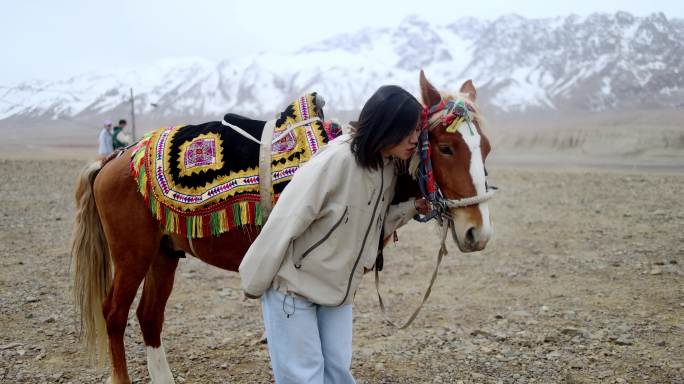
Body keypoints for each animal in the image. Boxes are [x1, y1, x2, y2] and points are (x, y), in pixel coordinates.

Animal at [71, 71, 492, 380]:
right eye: (445, 147)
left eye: (486, 148)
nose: (478, 233)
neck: (365, 154)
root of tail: (114, 158)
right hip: (132, 256)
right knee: (115, 314)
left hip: (165, 254)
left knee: (149, 316)